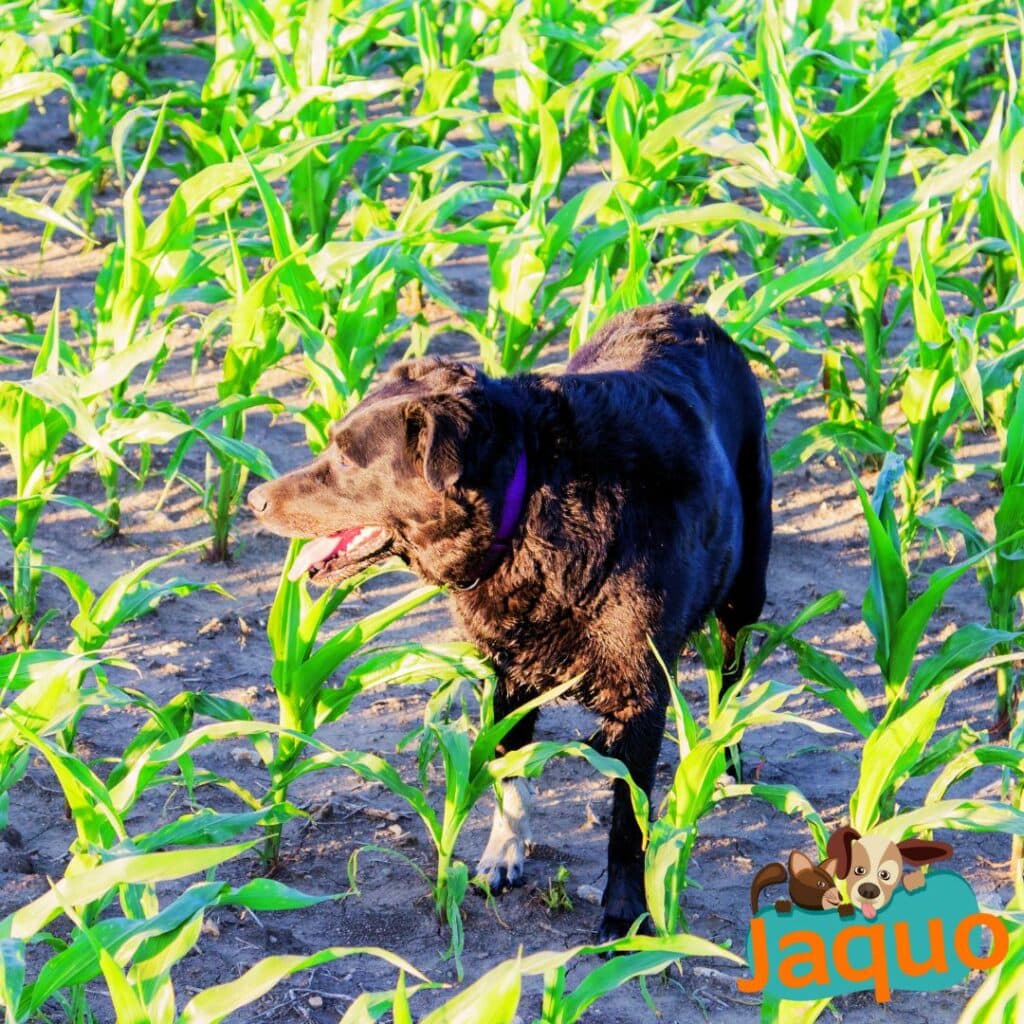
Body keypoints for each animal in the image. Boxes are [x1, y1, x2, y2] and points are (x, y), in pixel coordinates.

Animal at [247, 299, 770, 937]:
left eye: (347, 457)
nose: (255, 500)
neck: (530, 505)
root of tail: (685, 309)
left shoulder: (641, 693)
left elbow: (629, 823)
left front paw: (627, 916)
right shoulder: (505, 670)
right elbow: (505, 773)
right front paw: (501, 857)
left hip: (746, 584)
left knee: (733, 672)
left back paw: (726, 752)